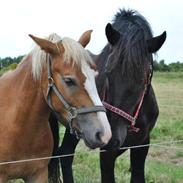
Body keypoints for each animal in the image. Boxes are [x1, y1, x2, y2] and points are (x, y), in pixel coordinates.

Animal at [49, 9, 167, 182]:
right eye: (108, 71)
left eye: (144, 77)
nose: (111, 137)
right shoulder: (107, 153)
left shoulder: (142, 143)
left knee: (65, 154)